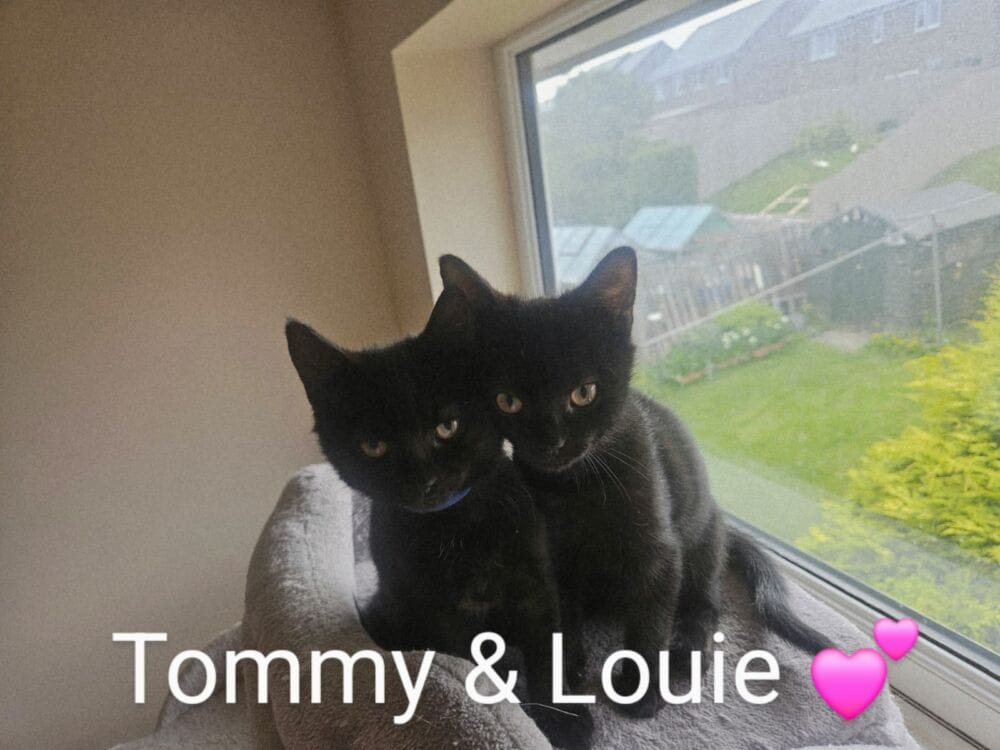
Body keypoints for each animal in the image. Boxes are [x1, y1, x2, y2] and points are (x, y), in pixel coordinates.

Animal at [285, 288, 593, 748]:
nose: (426, 481)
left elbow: (544, 654)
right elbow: (472, 672)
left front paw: (563, 718)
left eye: (447, 426)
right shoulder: (440, 615)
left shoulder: (535, 588)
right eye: (374, 446)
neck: (459, 526)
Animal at [439, 247, 831, 718]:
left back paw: (687, 648)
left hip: (701, 535)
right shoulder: (549, 556)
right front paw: (567, 667)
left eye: (584, 393)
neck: (576, 486)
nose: (552, 442)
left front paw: (642, 690)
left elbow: (650, 621)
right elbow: (561, 613)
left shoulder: (658, 551)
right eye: (508, 401)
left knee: (706, 600)